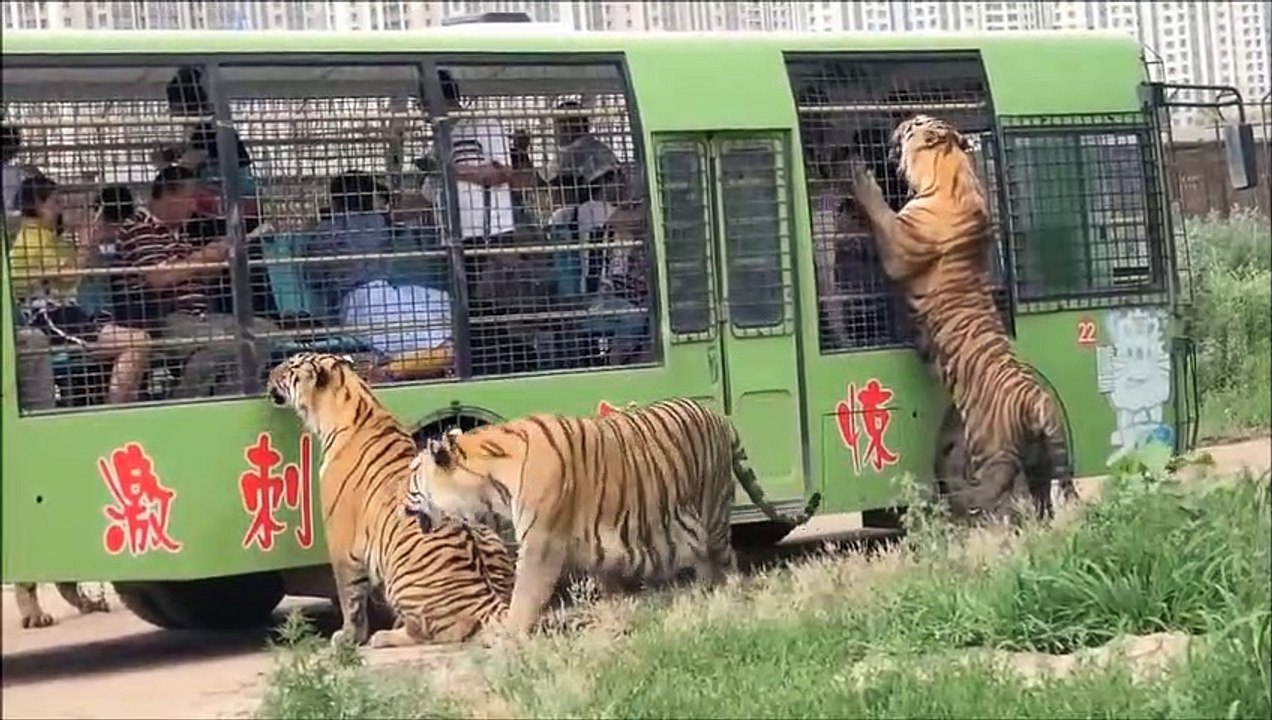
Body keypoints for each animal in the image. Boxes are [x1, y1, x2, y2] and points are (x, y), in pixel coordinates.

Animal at [265, 352, 515, 648]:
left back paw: (385, 635)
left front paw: (348, 637)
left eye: (290, 366)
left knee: (433, 632)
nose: (269, 372)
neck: (354, 398)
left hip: (401, 578)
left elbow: (350, 596)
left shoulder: (341, 542)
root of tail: (488, 599)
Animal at [403, 397, 823, 637]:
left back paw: (724, 597)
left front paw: (508, 634)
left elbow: (525, 594)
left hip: (714, 514)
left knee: (728, 562)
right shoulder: (595, 542)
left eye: (412, 477)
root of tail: (721, 417)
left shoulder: (541, 545)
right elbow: (608, 585)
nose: (400, 503)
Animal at [846, 114, 1078, 521]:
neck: (949, 166)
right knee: (1041, 501)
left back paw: (965, 508)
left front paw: (862, 179)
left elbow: (882, 215)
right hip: (1040, 462)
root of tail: (1037, 401)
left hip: (992, 453)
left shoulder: (899, 243)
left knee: (1001, 497)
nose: (899, 120)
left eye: (914, 124)